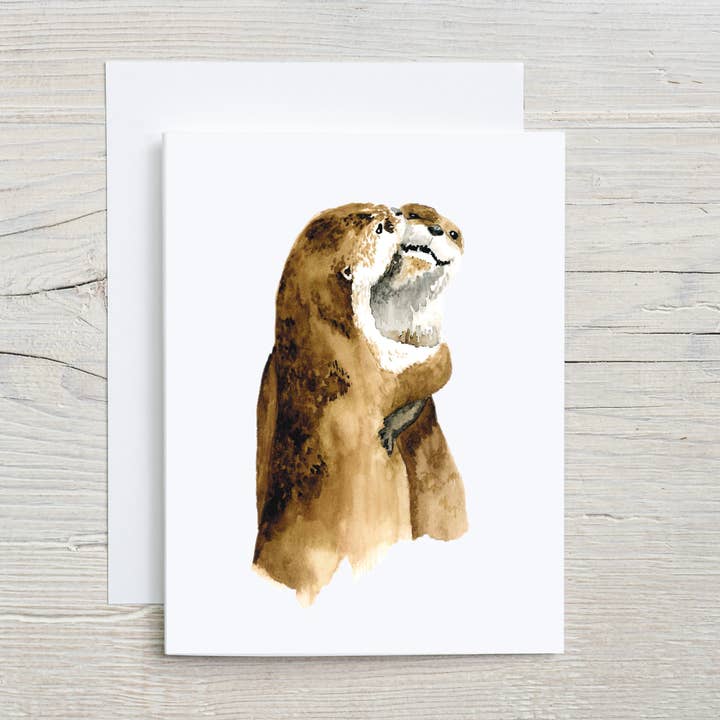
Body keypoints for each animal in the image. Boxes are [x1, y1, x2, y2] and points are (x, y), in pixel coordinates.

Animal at [254, 203, 453, 605]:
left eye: (375, 209)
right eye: (380, 228)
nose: (395, 211)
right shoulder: (375, 369)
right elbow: (430, 367)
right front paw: (441, 354)